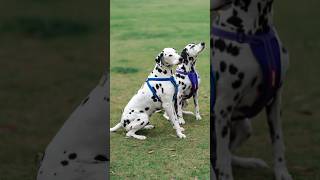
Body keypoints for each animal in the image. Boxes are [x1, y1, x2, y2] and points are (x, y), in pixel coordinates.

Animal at [212, 0, 292, 180]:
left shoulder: (276, 101)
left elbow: (279, 141)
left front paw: (282, 173)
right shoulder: (222, 108)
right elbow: (223, 160)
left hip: (245, 128)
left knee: (227, 156)